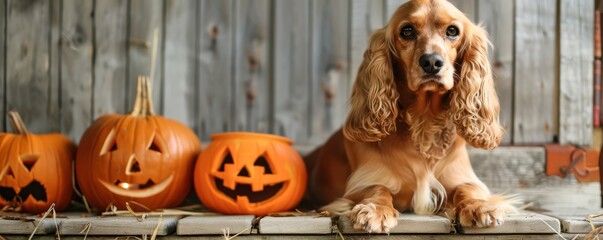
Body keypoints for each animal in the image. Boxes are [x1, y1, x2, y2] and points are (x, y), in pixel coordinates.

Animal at [304, 0, 516, 233]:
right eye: (407, 31)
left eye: (452, 31)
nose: (431, 62)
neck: (425, 121)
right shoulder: (360, 184)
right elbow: (377, 188)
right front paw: (375, 210)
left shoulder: (462, 178)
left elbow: (468, 189)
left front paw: (479, 206)